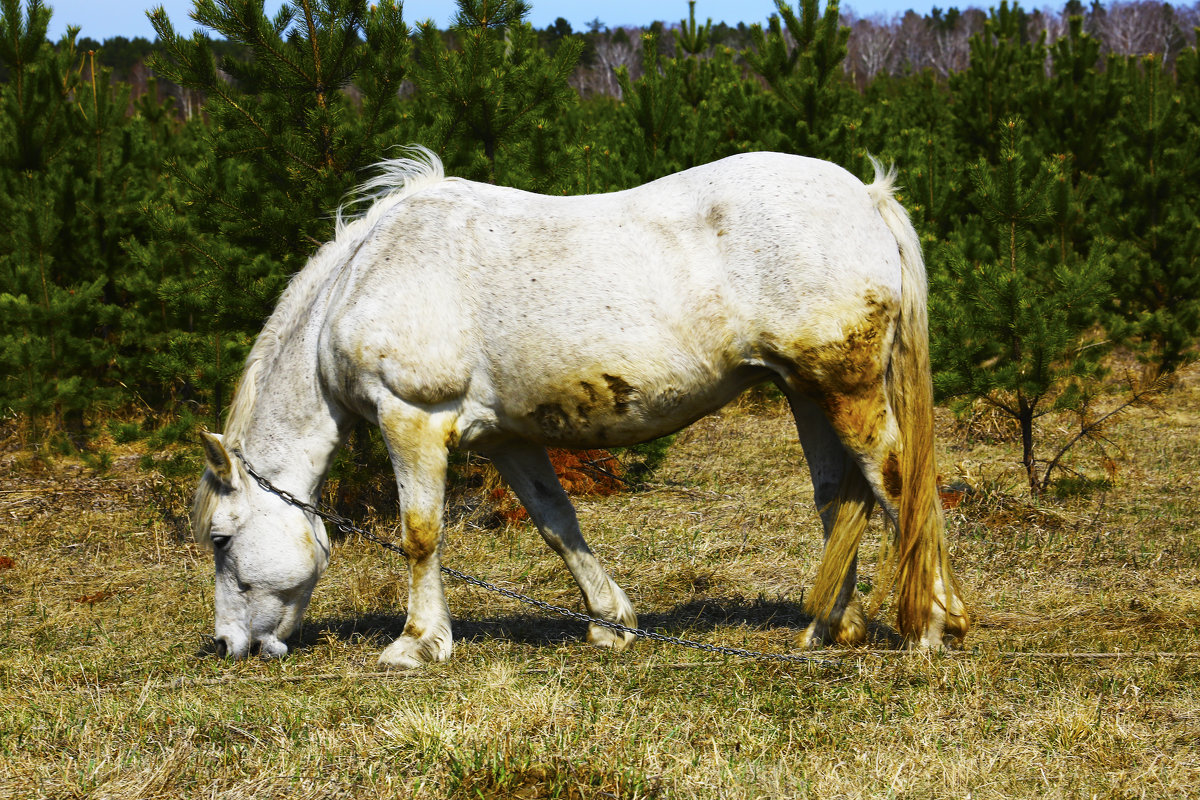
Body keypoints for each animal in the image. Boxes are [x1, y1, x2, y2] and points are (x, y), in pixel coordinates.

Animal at [192, 146, 969, 666]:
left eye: (221, 539)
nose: (229, 644)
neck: (364, 280)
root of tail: (865, 196)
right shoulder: (506, 439)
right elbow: (556, 525)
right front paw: (610, 623)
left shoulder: (410, 419)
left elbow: (420, 535)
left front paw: (416, 643)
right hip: (807, 392)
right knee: (840, 496)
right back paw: (827, 629)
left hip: (848, 389)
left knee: (898, 481)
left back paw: (934, 622)